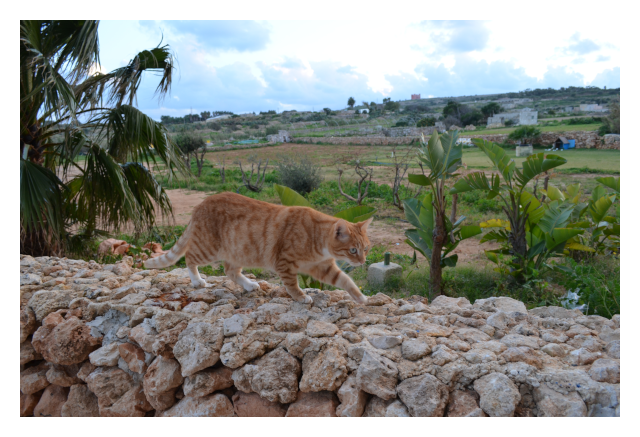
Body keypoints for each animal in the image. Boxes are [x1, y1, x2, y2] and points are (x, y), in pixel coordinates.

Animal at [144, 191, 370, 304]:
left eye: (366, 249)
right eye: (353, 250)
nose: (363, 261)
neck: (317, 239)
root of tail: (200, 204)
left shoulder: (322, 267)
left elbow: (346, 280)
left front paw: (361, 298)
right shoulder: (284, 263)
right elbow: (292, 284)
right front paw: (301, 297)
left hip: (239, 252)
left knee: (230, 271)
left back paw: (249, 285)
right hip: (208, 248)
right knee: (189, 258)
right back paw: (197, 281)